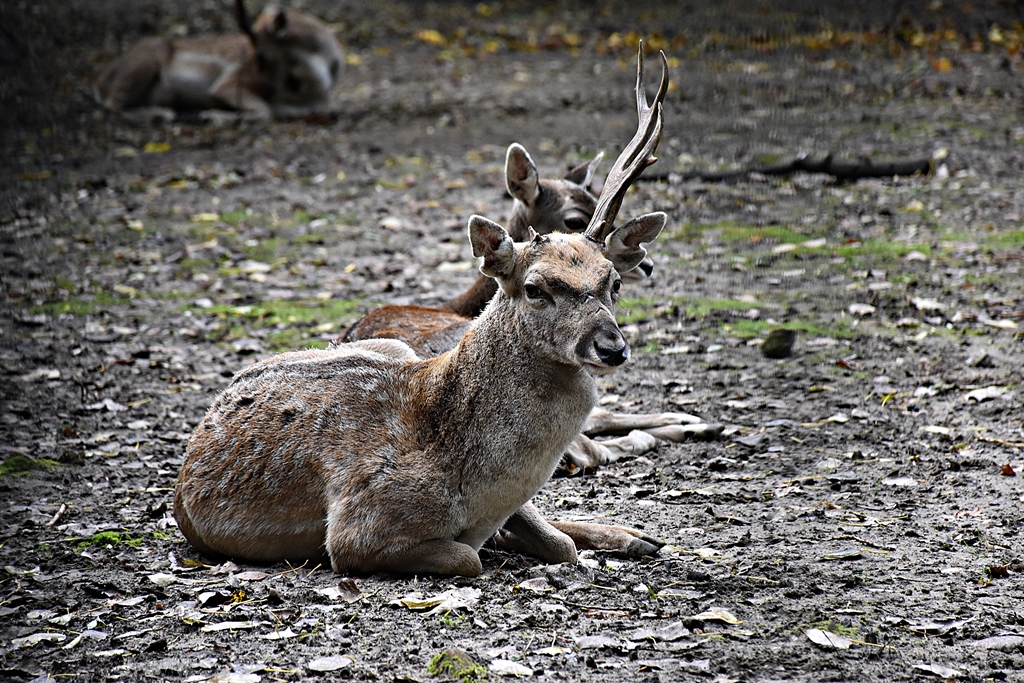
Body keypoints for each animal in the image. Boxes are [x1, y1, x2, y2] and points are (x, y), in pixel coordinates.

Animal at [93, 0, 344, 120]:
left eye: (262, 55)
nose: (266, 90)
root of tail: (100, 79)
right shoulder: (226, 85)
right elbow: (265, 111)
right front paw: (213, 115)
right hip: (146, 62)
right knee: (110, 106)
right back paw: (161, 114)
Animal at [175, 46, 676, 576]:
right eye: (535, 289)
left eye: (613, 282)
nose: (612, 346)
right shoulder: (356, 531)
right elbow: (470, 557)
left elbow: (557, 543)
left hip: (393, 346)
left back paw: (640, 535)